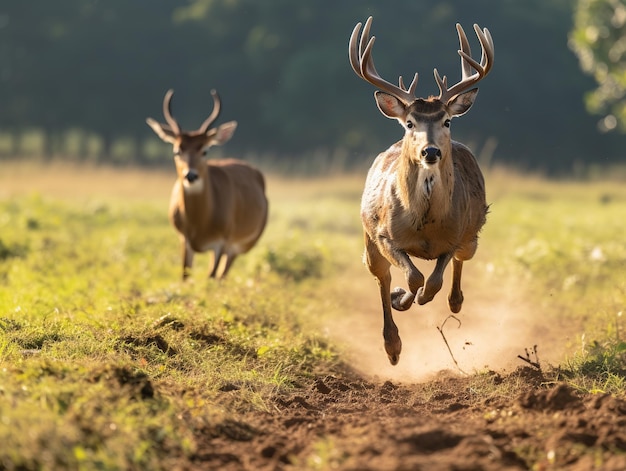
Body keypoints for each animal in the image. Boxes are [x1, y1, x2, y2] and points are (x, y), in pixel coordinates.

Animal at [147, 89, 268, 280]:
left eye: (205, 150)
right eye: (177, 150)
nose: (190, 175)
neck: (200, 224)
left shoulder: (221, 242)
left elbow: (211, 277)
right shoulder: (184, 240)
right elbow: (185, 276)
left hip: (238, 247)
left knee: (222, 275)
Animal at [348, 17, 490, 366]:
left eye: (448, 121)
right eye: (410, 122)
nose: (431, 151)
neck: (424, 224)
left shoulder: (454, 238)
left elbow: (434, 279)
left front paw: (423, 297)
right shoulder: (384, 235)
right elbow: (412, 277)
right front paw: (404, 299)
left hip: (472, 237)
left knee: (459, 264)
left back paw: (454, 301)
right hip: (369, 240)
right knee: (382, 277)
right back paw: (392, 342)